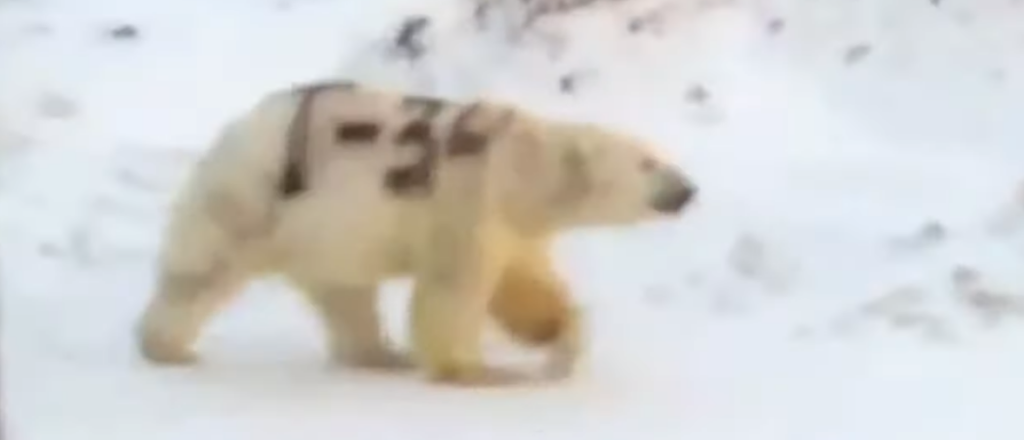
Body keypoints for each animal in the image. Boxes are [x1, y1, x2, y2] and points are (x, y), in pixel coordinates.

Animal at [133, 79, 698, 386]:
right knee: (200, 272)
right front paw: (479, 372)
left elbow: (525, 287)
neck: (519, 163)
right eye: (648, 164)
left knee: (346, 296)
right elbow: (452, 291)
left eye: (662, 156)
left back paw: (382, 356)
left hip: (324, 232)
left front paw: (561, 343)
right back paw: (168, 347)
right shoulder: (466, 199)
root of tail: (235, 129)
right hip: (252, 196)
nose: (688, 189)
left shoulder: (511, 223)